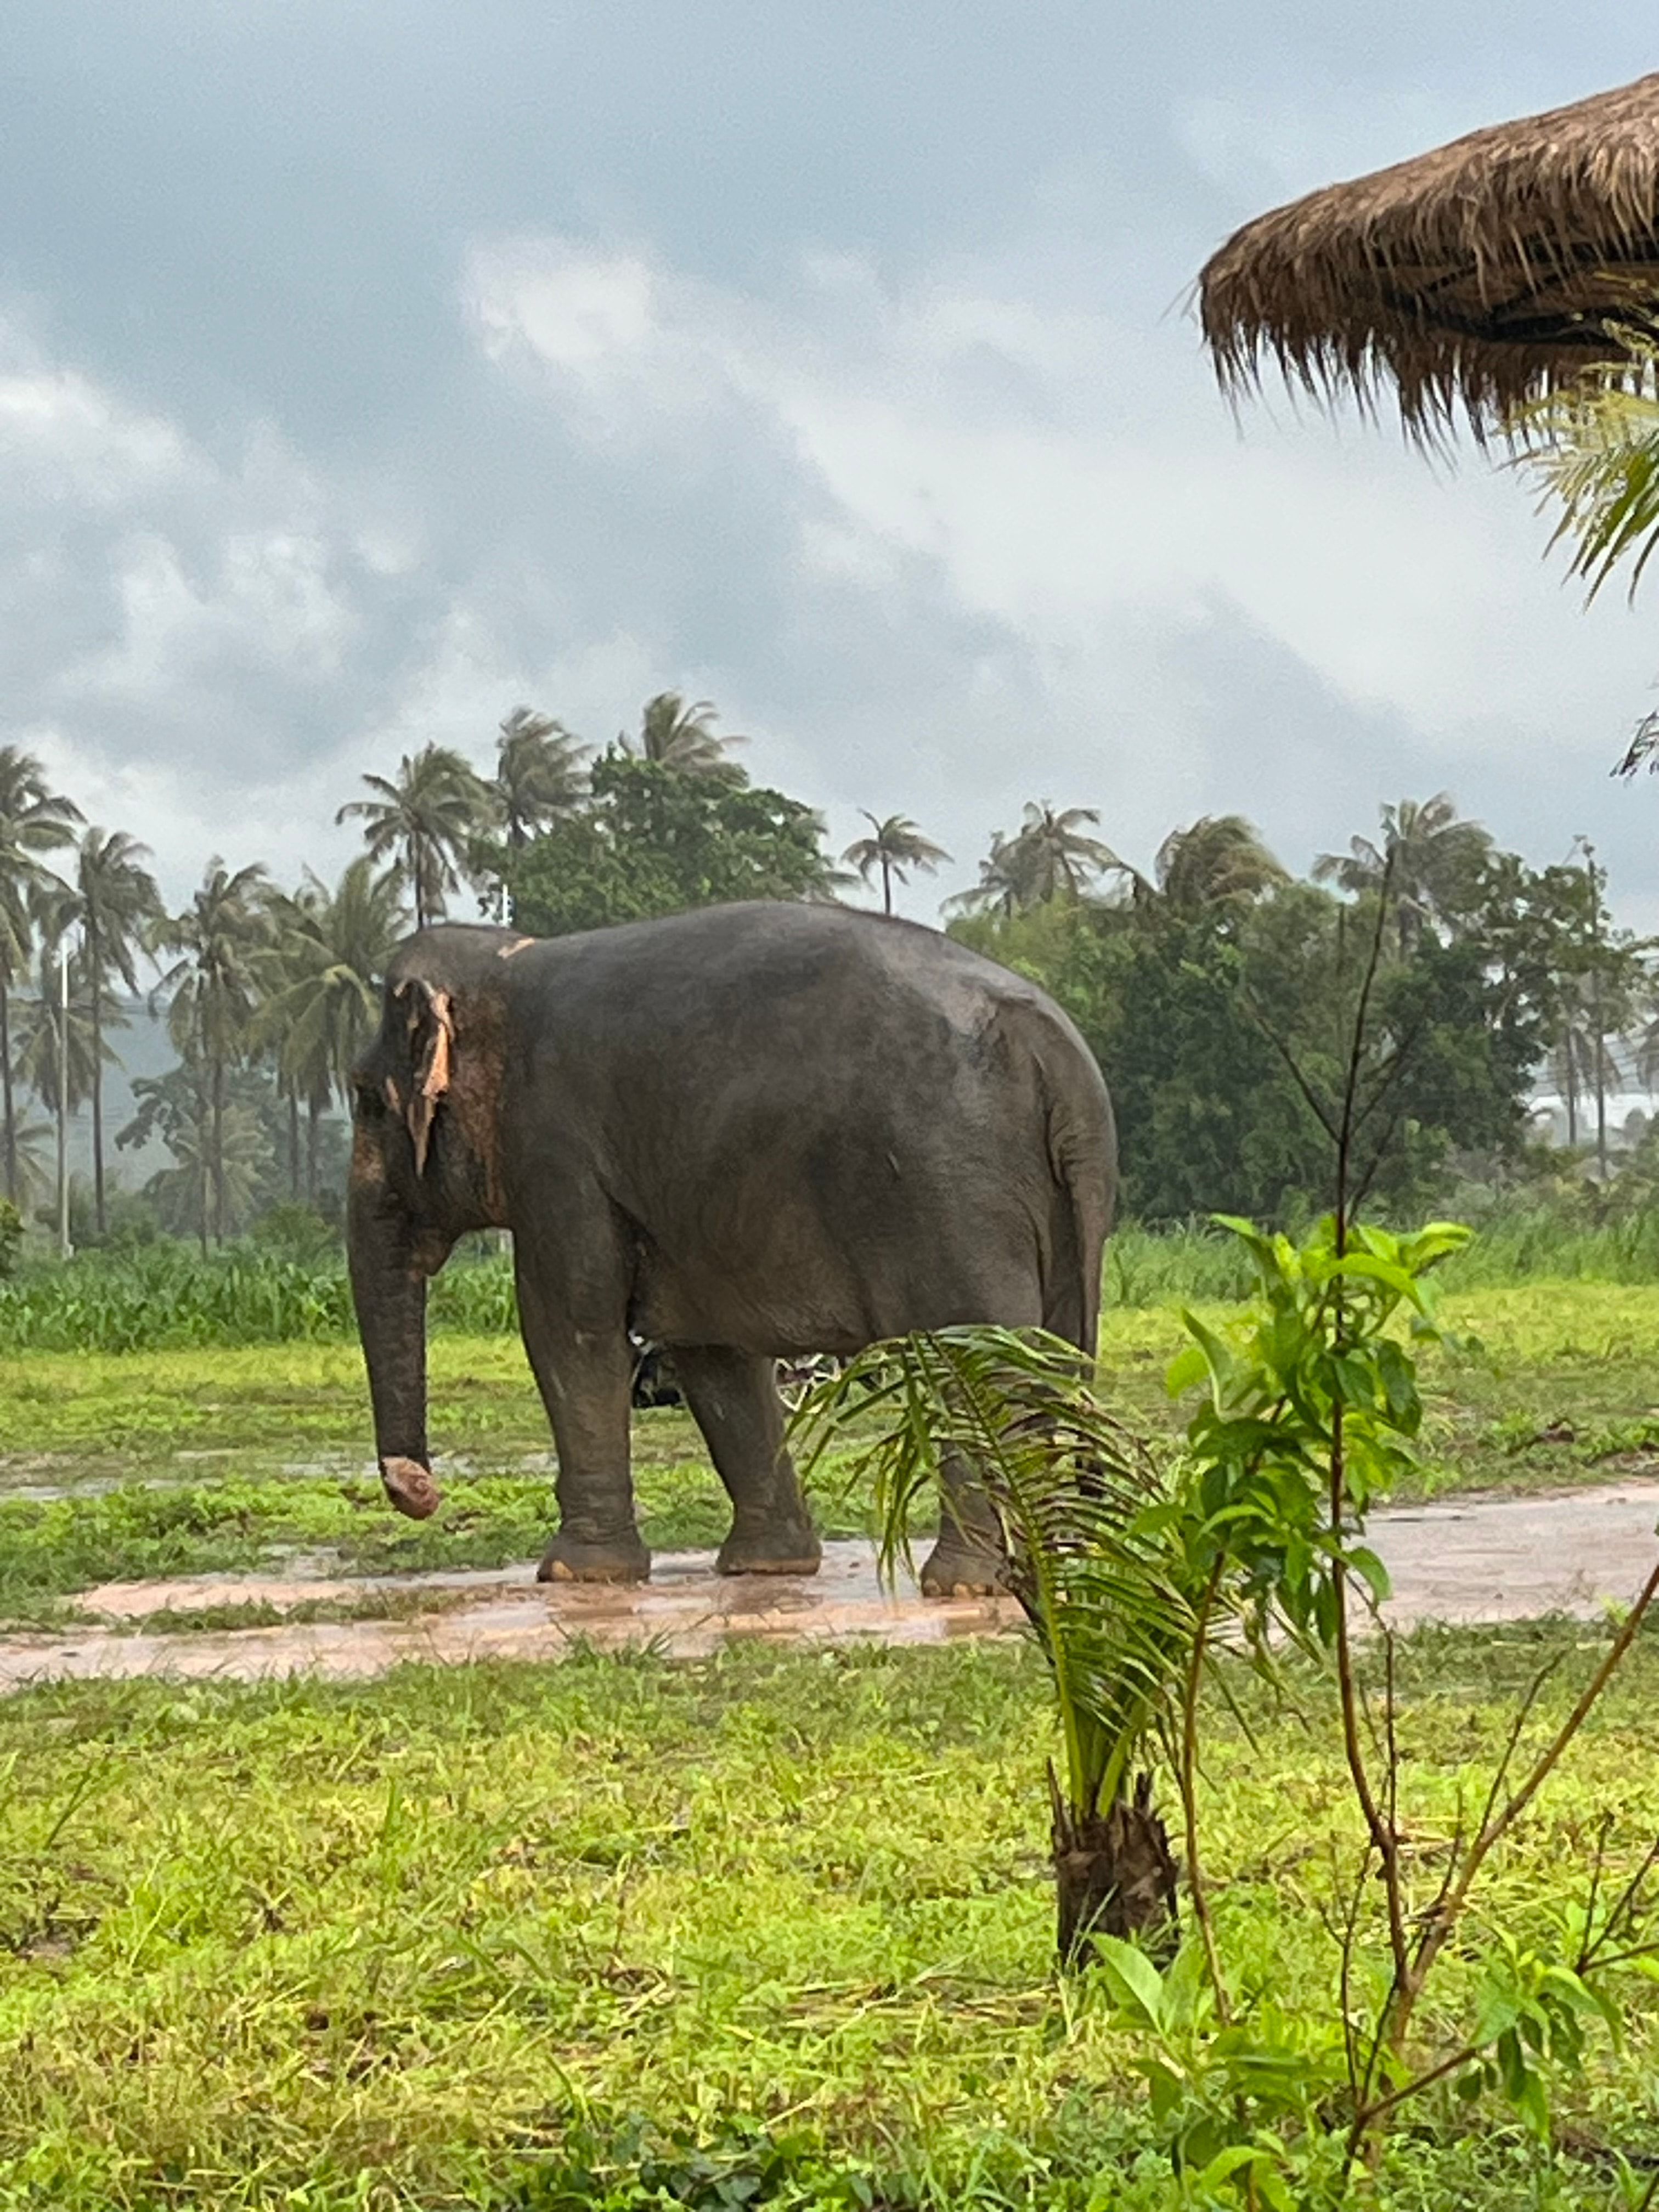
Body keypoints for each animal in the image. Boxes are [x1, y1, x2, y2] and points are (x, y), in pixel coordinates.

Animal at [349, 898, 1119, 1593]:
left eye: (366, 1101)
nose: (420, 1489)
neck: (506, 963)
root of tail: (1047, 1041)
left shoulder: (555, 1152)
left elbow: (570, 1330)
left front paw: (575, 1574)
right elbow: (713, 1354)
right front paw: (767, 1567)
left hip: (951, 1194)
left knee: (973, 1369)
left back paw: (966, 1585)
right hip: (1064, 1204)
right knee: (1049, 1366)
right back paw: (1047, 1571)